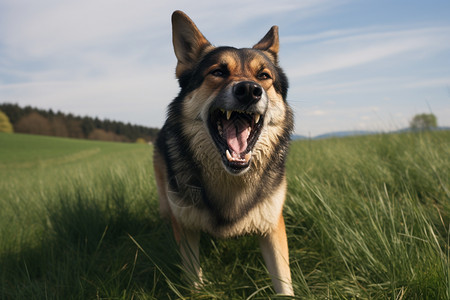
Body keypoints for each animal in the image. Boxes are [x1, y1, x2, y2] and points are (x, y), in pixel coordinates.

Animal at [154, 9, 296, 296]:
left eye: (264, 76)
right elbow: (193, 278)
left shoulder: (272, 227)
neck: (231, 181)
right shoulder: (186, 228)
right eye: (218, 72)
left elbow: (283, 282)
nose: (249, 90)